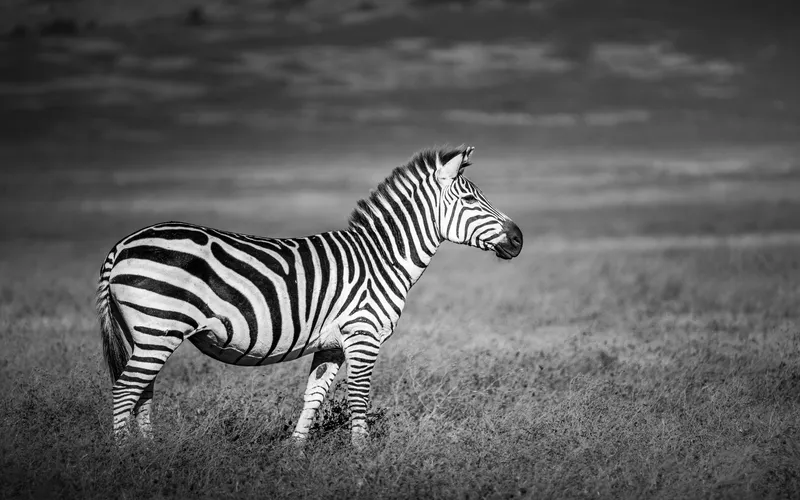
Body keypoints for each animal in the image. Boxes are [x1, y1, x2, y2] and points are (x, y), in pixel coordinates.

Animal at [95, 145, 523, 447]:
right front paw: (362, 458)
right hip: (159, 327)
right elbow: (358, 400)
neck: (382, 257)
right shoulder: (363, 336)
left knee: (142, 390)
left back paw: (149, 450)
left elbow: (313, 397)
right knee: (126, 390)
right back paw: (126, 457)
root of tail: (122, 245)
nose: (519, 239)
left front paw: (296, 452)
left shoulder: (332, 344)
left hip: (144, 332)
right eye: (470, 201)